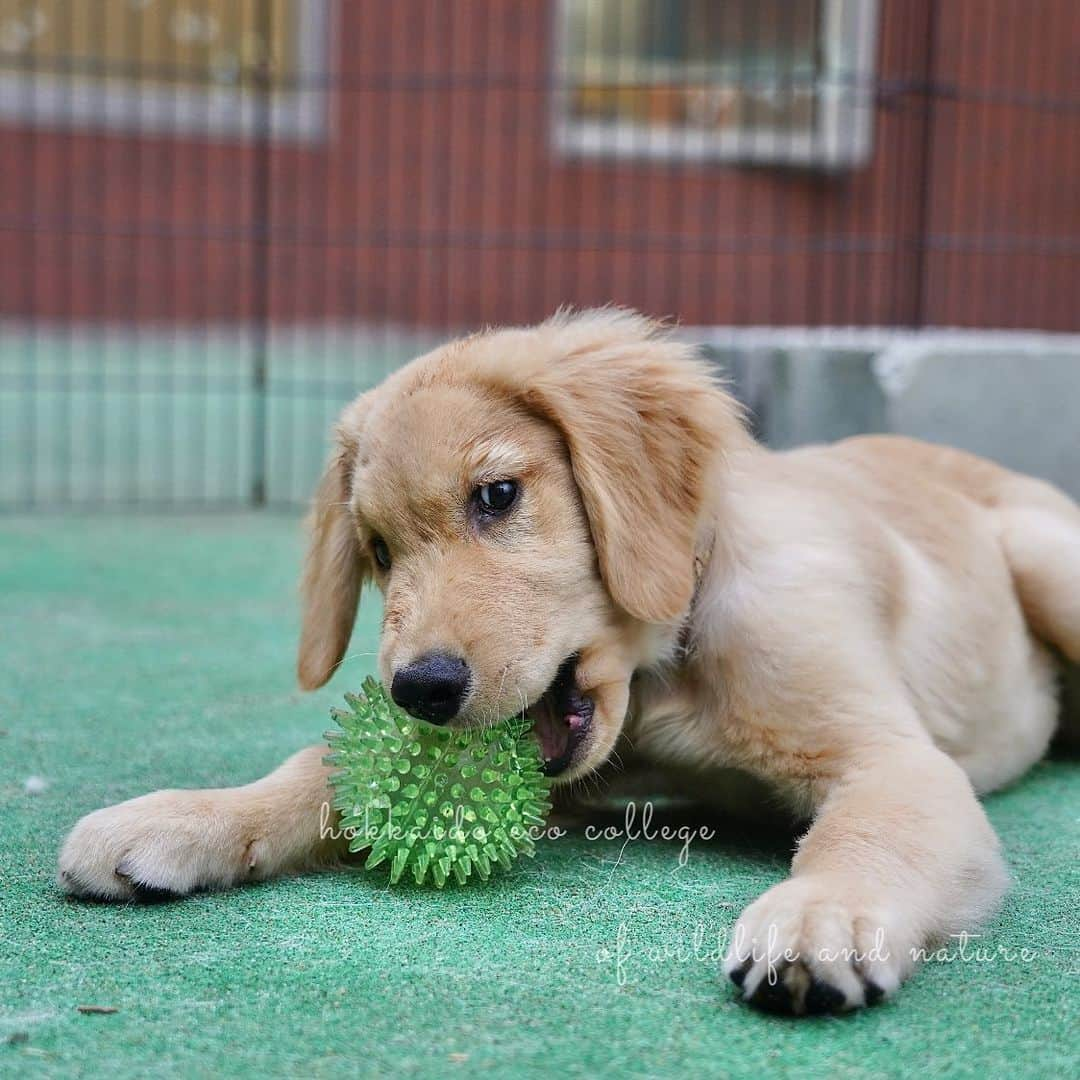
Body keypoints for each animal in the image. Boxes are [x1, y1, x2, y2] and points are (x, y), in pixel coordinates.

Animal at [61, 311, 1080, 1010]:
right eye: (379, 552)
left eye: (498, 495)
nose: (419, 691)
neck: (667, 674)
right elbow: (318, 770)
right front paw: (187, 816)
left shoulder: (892, 759)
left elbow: (867, 834)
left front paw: (820, 914)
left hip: (1046, 556)